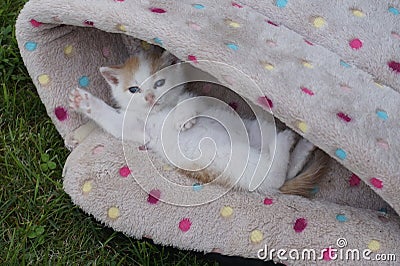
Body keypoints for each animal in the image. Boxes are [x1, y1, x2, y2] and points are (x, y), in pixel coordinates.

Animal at [69, 50, 328, 196]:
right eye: (134, 89)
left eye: (160, 83)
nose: (150, 98)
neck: (160, 111)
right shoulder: (137, 129)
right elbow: (114, 122)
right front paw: (83, 102)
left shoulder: (200, 99)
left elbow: (190, 103)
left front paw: (182, 119)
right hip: (243, 165)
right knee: (279, 172)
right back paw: (291, 142)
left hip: (251, 137)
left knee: (280, 170)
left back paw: (290, 139)